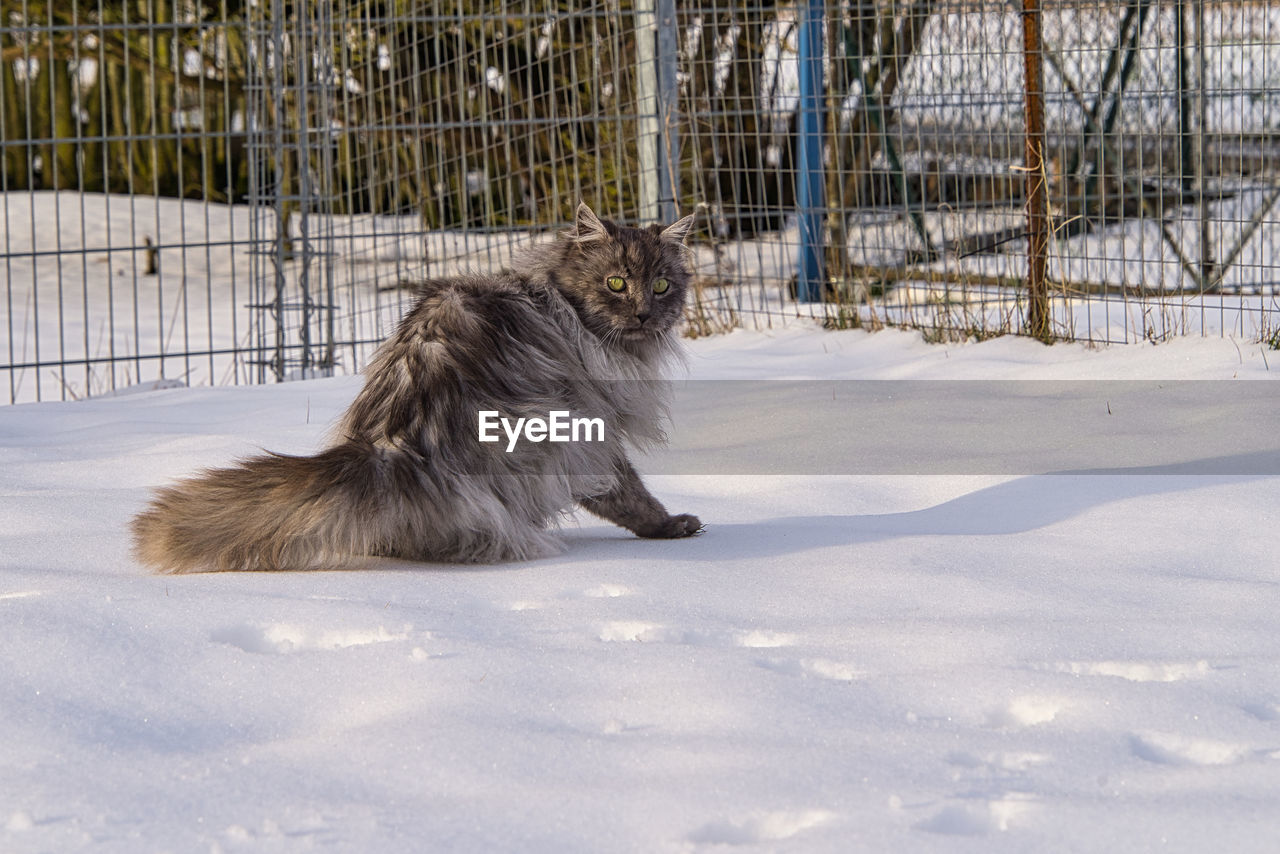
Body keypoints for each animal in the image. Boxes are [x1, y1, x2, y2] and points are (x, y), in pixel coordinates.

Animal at [129, 203, 701, 571]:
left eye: (661, 286)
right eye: (616, 283)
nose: (645, 314)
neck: (558, 299)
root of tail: (391, 445)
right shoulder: (589, 425)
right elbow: (630, 492)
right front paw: (669, 525)